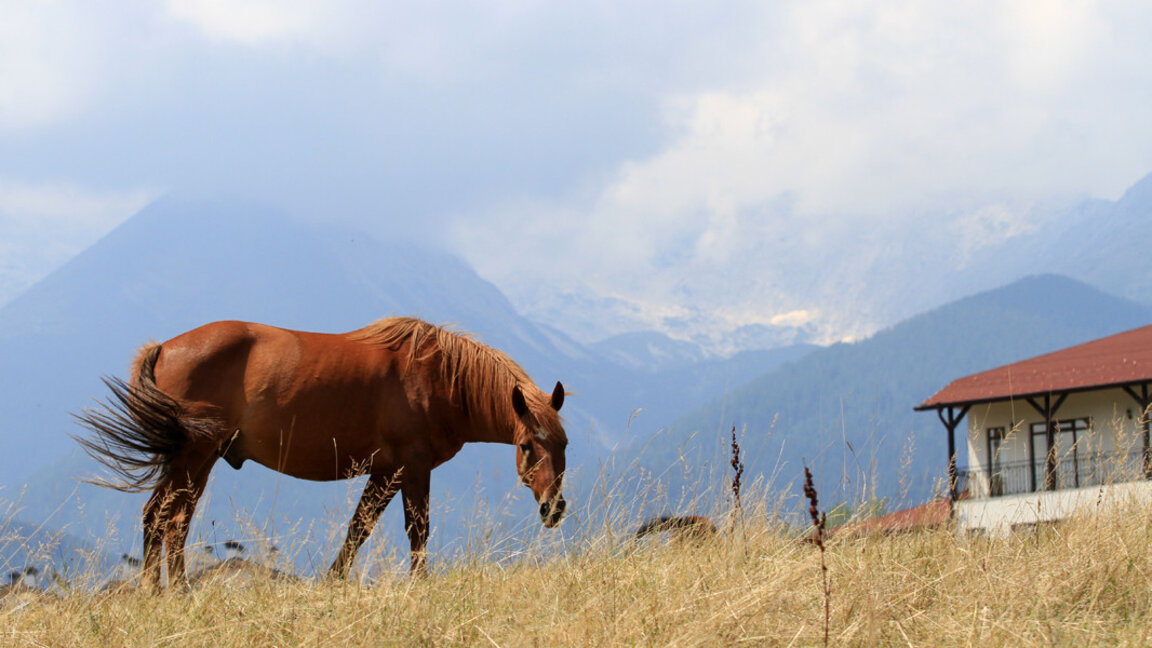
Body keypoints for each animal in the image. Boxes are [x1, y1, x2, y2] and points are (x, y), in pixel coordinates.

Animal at [75, 317, 568, 591]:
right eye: (527, 446)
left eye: (563, 444)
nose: (554, 508)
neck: (440, 378)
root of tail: (164, 348)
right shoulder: (413, 469)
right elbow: (418, 531)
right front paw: (419, 586)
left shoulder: (385, 472)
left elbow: (358, 528)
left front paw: (334, 581)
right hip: (194, 458)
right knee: (172, 520)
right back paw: (175, 592)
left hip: (189, 460)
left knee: (158, 516)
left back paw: (155, 591)